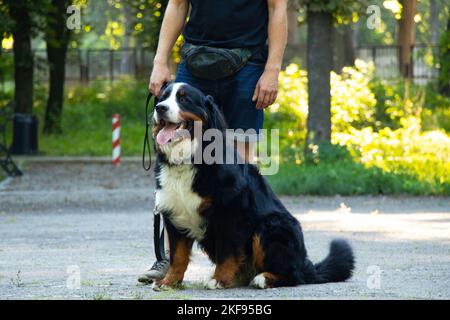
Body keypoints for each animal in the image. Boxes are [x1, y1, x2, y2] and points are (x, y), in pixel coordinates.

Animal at [151, 82, 356, 290]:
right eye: (163, 97)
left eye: (184, 99)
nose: (159, 108)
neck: (188, 160)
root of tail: (307, 265)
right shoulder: (175, 213)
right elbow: (177, 256)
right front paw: (168, 281)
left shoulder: (231, 212)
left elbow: (227, 251)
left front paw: (219, 279)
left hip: (271, 225)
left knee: (295, 276)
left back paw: (263, 278)